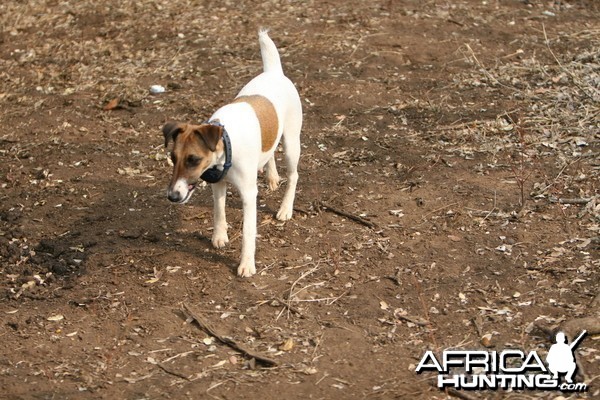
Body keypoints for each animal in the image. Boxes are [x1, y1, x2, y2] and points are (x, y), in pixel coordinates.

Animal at [162, 28, 302, 278]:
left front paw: (246, 264)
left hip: (291, 143)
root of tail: (273, 72)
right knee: (270, 151)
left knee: (294, 175)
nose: (172, 196)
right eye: (172, 158)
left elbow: (248, 233)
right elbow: (219, 212)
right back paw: (272, 176)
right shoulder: (218, 184)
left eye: (193, 160)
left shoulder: (248, 194)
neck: (226, 147)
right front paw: (220, 236)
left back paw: (285, 208)